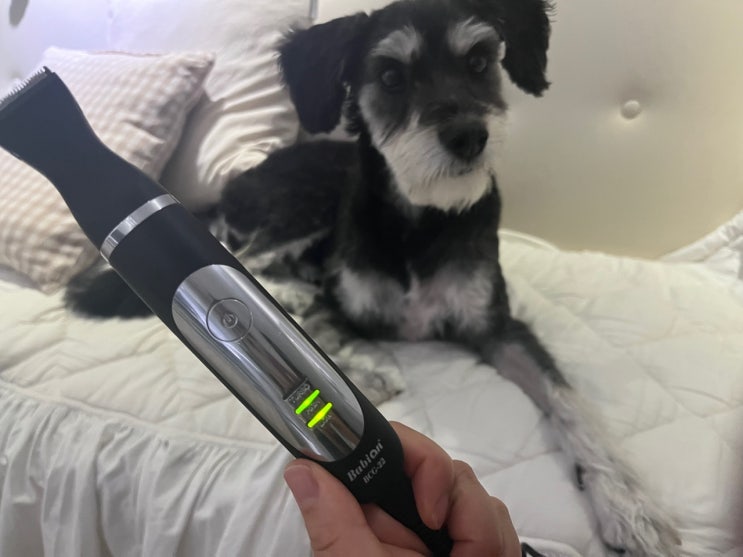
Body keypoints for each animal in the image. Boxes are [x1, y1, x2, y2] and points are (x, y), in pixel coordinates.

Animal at [67, 0, 681, 554]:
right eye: (389, 76)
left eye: (480, 61)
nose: (469, 137)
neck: (420, 222)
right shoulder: (342, 302)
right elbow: (320, 336)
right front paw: (366, 368)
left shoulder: (498, 328)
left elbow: (569, 400)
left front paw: (632, 507)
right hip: (299, 206)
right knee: (251, 261)